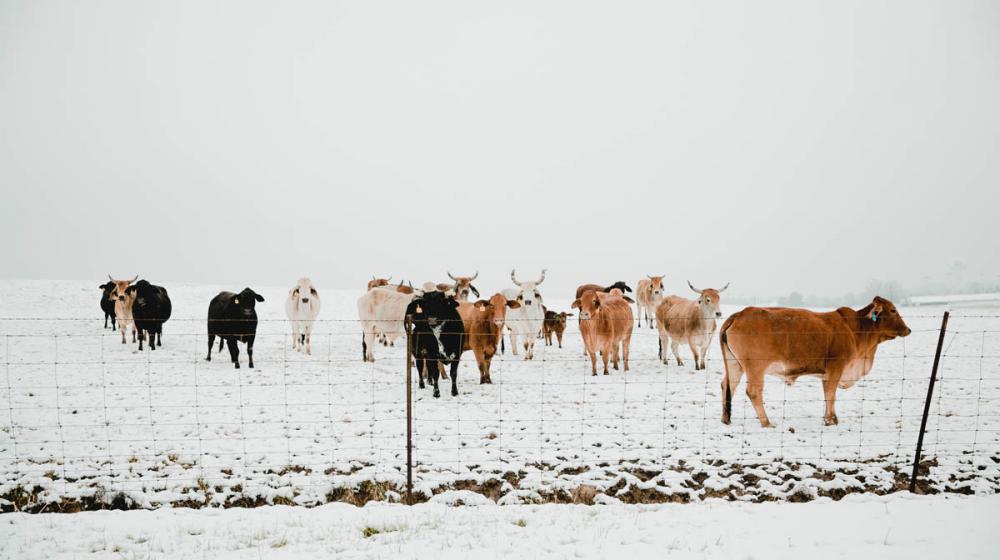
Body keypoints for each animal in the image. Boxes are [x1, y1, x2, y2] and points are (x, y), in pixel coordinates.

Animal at [720, 296, 916, 426]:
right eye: (893, 310)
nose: (908, 329)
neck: (857, 329)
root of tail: (740, 313)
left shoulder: (827, 373)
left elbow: (828, 394)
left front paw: (831, 418)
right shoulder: (836, 367)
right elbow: (831, 394)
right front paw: (830, 420)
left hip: (735, 365)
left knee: (728, 386)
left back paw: (725, 419)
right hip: (755, 368)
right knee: (753, 392)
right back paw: (767, 422)